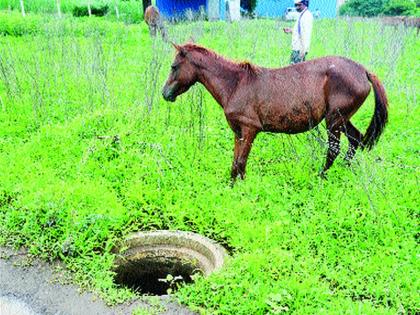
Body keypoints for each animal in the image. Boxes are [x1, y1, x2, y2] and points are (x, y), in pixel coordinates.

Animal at [162, 44, 388, 183]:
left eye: (174, 66)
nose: (165, 93)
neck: (235, 85)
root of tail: (364, 71)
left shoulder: (251, 129)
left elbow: (241, 162)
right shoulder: (238, 131)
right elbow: (235, 163)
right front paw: (231, 187)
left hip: (334, 121)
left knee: (334, 149)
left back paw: (321, 177)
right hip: (340, 119)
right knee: (356, 139)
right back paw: (343, 169)